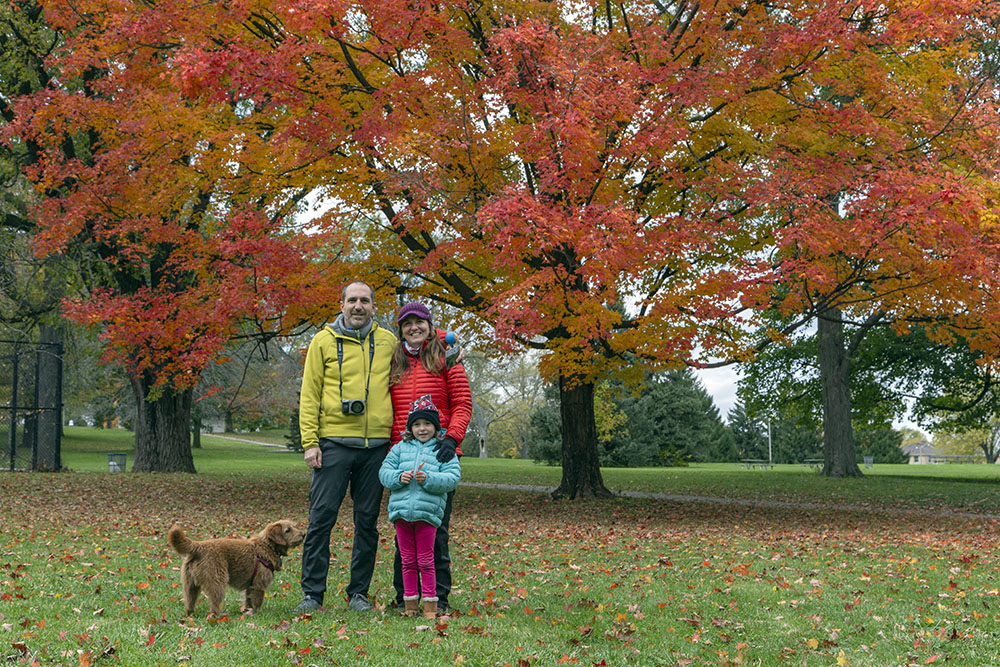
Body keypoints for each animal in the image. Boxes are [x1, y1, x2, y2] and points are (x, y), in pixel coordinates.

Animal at [168, 520, 302, 620]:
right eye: (288, 530)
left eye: (293, 527)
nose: (303, 534)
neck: (267, 546)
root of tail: (199, 546)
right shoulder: (259, 585)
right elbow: (257, 602)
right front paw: (255, 614)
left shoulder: (250, 586)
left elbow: (248, 600)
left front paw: (247, 611)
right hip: (218, 583)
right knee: (214, 605)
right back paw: (218, 616)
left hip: (190, 586)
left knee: (189, 603)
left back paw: (191, 615)